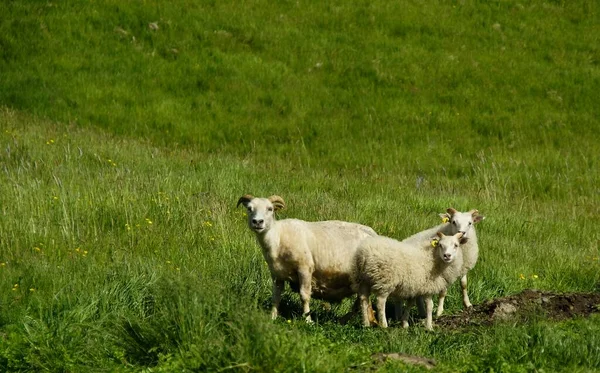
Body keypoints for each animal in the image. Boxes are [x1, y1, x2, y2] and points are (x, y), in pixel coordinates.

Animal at [237, 193, 378, 322]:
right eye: (249, 208)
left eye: (270, 209)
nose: (257, 222)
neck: (278, 237)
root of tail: (373, 233)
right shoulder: (276, 274)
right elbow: (276, 296)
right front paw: (273, 317)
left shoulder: (305, 268)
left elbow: (304, 296)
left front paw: (308, 320)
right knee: (360, 301)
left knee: (363, 301)